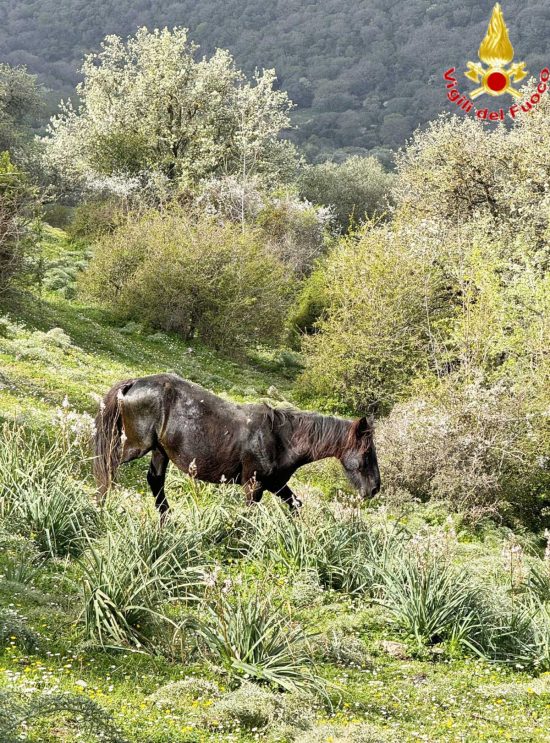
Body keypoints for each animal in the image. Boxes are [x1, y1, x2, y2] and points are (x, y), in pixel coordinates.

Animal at [93, 373, 380, 516]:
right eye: (367, 452)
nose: (374, 489)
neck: (281, 439)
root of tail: (135, 383)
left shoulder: (276, 484)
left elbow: (296, 506)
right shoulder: (254, 486)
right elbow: (248, 517)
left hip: (159, 451)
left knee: (154, 481)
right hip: (137, 445)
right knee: (108, 465)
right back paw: (98, 504)